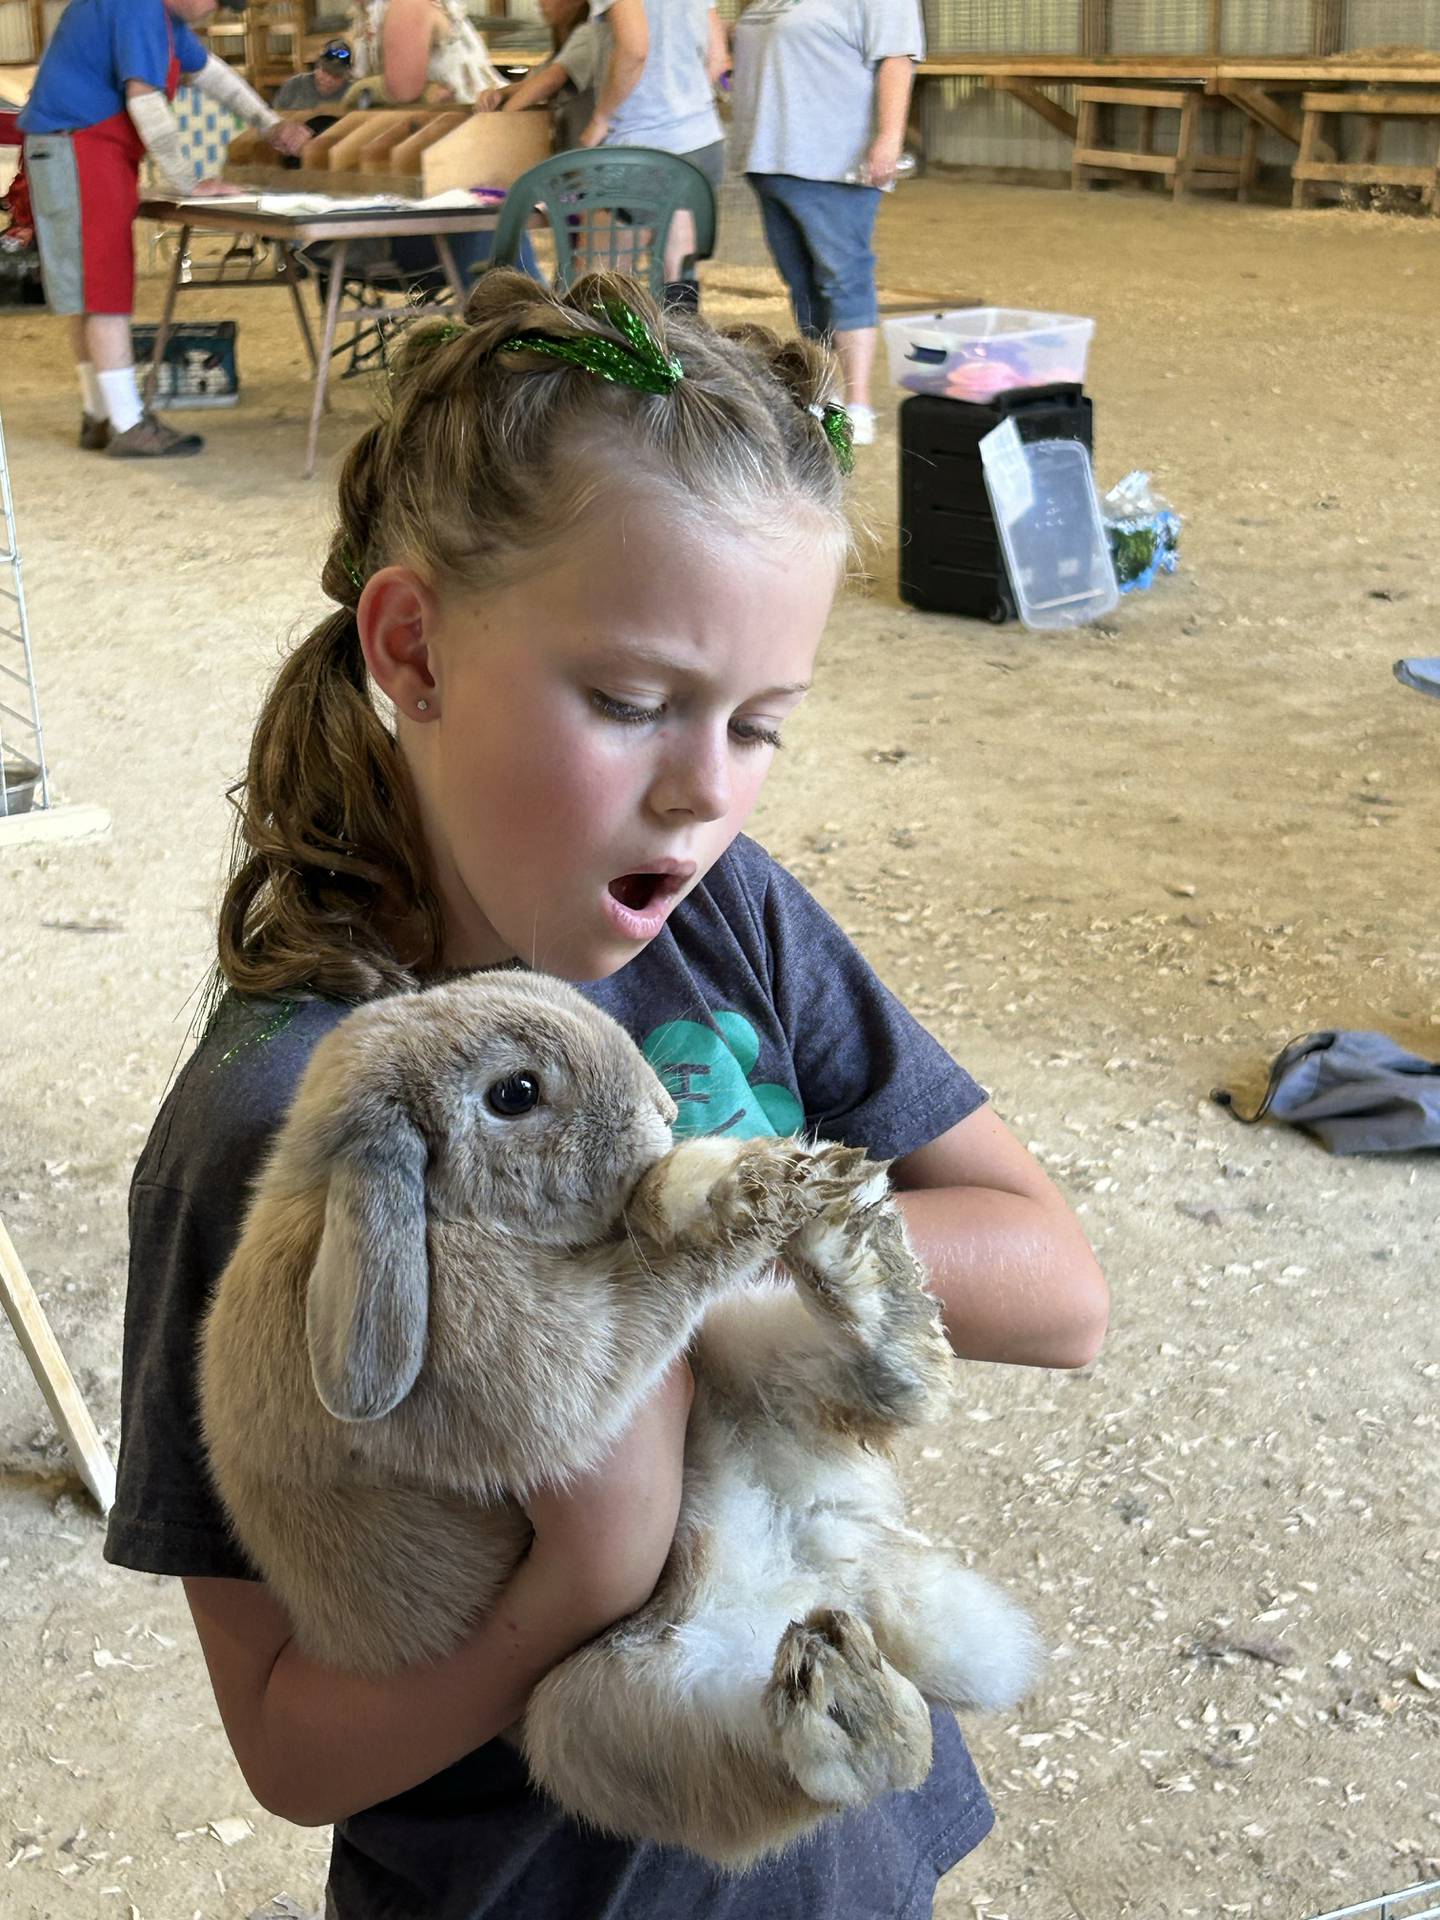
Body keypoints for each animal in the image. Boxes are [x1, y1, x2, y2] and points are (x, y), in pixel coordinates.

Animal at [203, 975, 1036, 1858]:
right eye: (515, 1093)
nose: (662, 1115)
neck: (436, 1212)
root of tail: (831, 1569)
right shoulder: (542, 1367)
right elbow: (652, 1277)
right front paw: (731, 1188)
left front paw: (728, 1176)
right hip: (597, 1718)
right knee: (813, 1771)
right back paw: (843, 1701)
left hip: (745, 1351)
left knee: (893, 1383)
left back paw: (851, 1235)